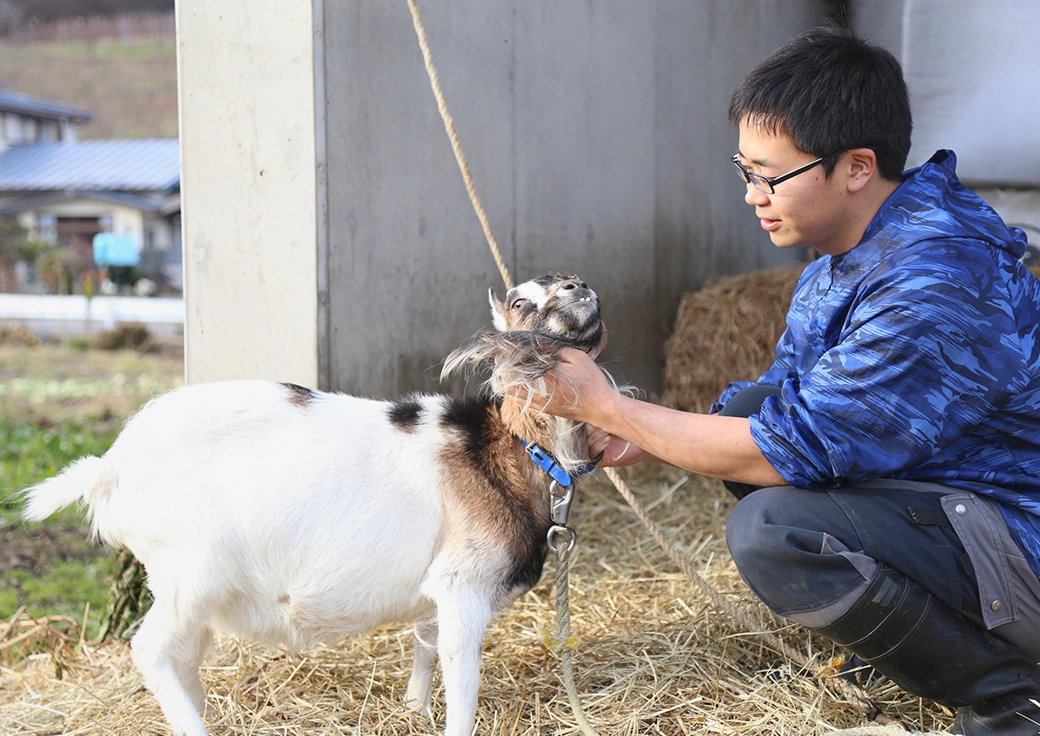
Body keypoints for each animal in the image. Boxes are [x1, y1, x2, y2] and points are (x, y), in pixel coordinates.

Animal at [20, 272, 607, 736]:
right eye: (521, 302)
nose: (578, 287)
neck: (506, 448)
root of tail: (109, 468)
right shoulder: (463, 584)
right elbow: (462, 685)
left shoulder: (435, 591)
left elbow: (424, 647)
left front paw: (412, 712)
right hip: (193, 569)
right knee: (151, 649)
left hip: (185, 585)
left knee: (183, 658)